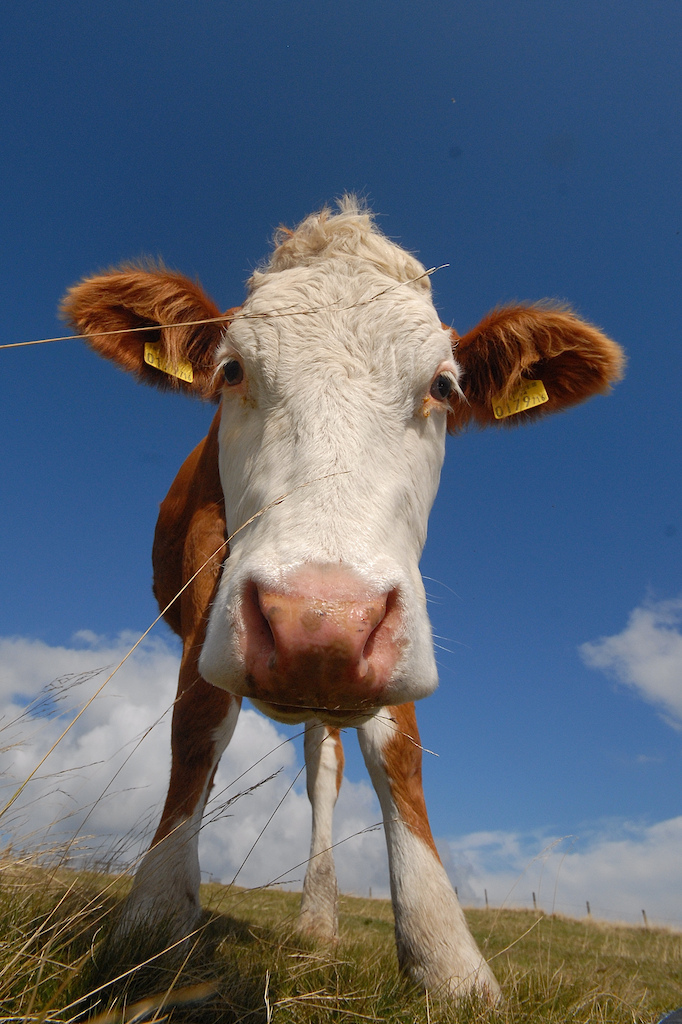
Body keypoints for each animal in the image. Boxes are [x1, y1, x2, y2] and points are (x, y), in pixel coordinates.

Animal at [61, 197, 624, 1001]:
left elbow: (397, 750)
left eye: (443, 387)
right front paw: (156, 915)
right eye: (231, 370)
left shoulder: (394, 612)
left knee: (324, 769)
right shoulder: (210, 571)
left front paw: (447, 954)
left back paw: (320, 921)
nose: (317, 625)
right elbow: (198, 719)